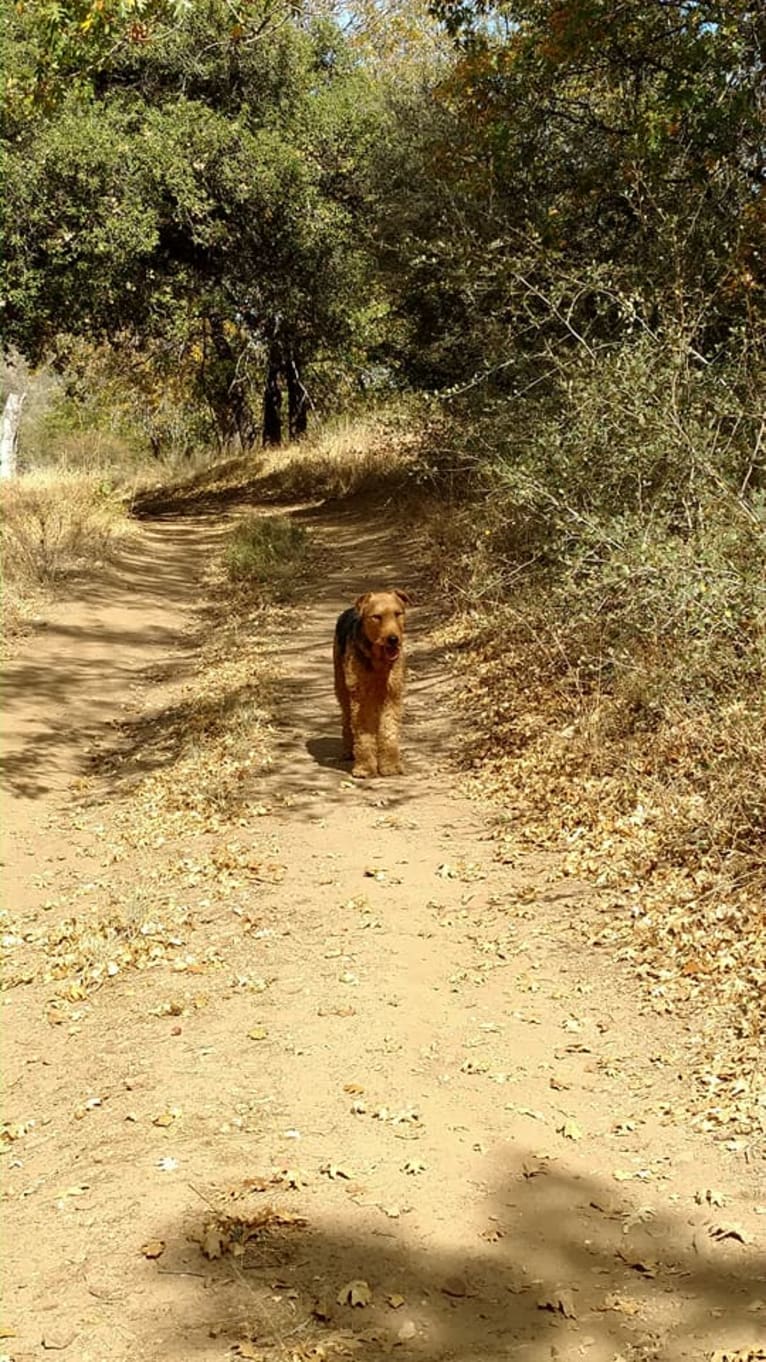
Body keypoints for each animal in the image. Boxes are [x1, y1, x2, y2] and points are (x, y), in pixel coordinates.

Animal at [331, 588, 408, 779]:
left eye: (398, 614)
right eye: (376, 617)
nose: (393, 639)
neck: (379, 661)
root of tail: (351, 609)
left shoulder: (392, 695)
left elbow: (389, 731)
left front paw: (390, 766)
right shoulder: (361, 698)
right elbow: (364, 734)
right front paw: (365, 768)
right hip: (342, 688)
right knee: (346, 719)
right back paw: (348, 751)